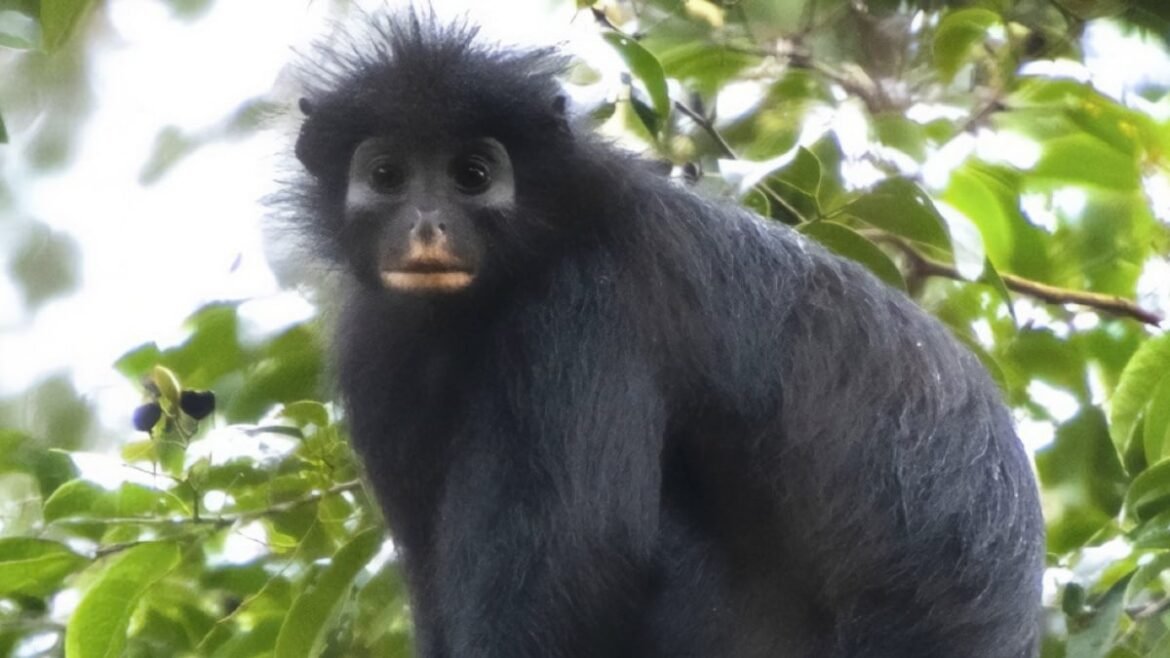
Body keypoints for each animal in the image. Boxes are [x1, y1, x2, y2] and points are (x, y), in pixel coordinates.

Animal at [283, 12, 1044, 658]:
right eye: (388, 176)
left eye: (472, 176)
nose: (427, 225)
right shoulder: (377, 346)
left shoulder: (584, 305)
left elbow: (581, 561)